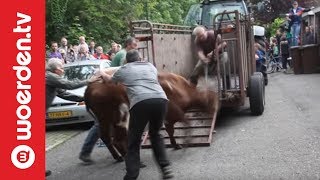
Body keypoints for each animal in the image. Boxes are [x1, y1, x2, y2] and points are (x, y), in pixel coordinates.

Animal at [84, 71, 220, 161]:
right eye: (212, 99)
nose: (216, 109)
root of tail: (90, 87)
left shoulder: (168, 118)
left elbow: (171, 131)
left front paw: (175, 144)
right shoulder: (175, 111)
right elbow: (187, 124)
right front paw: (186, 142)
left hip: (107, 121)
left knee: (107, 137)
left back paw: (119, 157)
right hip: (115, 118)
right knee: (116, 139)